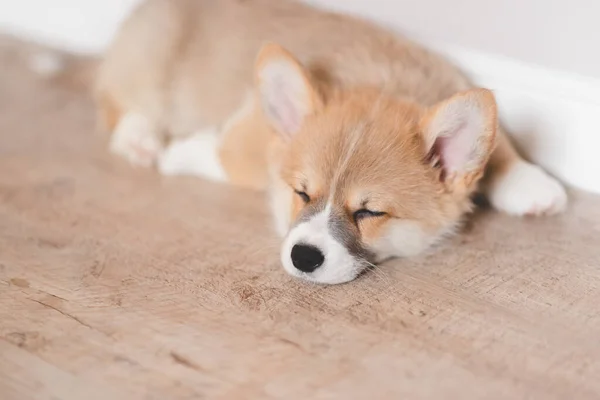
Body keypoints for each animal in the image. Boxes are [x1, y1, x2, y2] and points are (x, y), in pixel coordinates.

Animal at [95, 0, 568, 284]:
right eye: (302, 193)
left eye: (369, 212)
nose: (303, 258)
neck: (381, 81)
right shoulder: (248, 132)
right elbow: (230, 155)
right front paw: (183, 151)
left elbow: (501, 146)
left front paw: (534, 187)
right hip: (150, 62)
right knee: (116, 100)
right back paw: (141, 140)